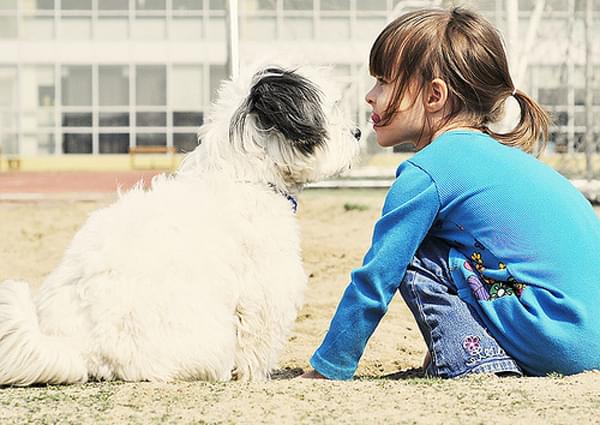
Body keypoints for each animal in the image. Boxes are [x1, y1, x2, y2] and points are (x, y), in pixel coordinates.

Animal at [0, 65, 360, 384]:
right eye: (330, 110)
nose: (357, 132)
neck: (246, 176)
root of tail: (75, 345)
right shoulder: (265, 290)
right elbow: (257, 341)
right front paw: (255, 376)